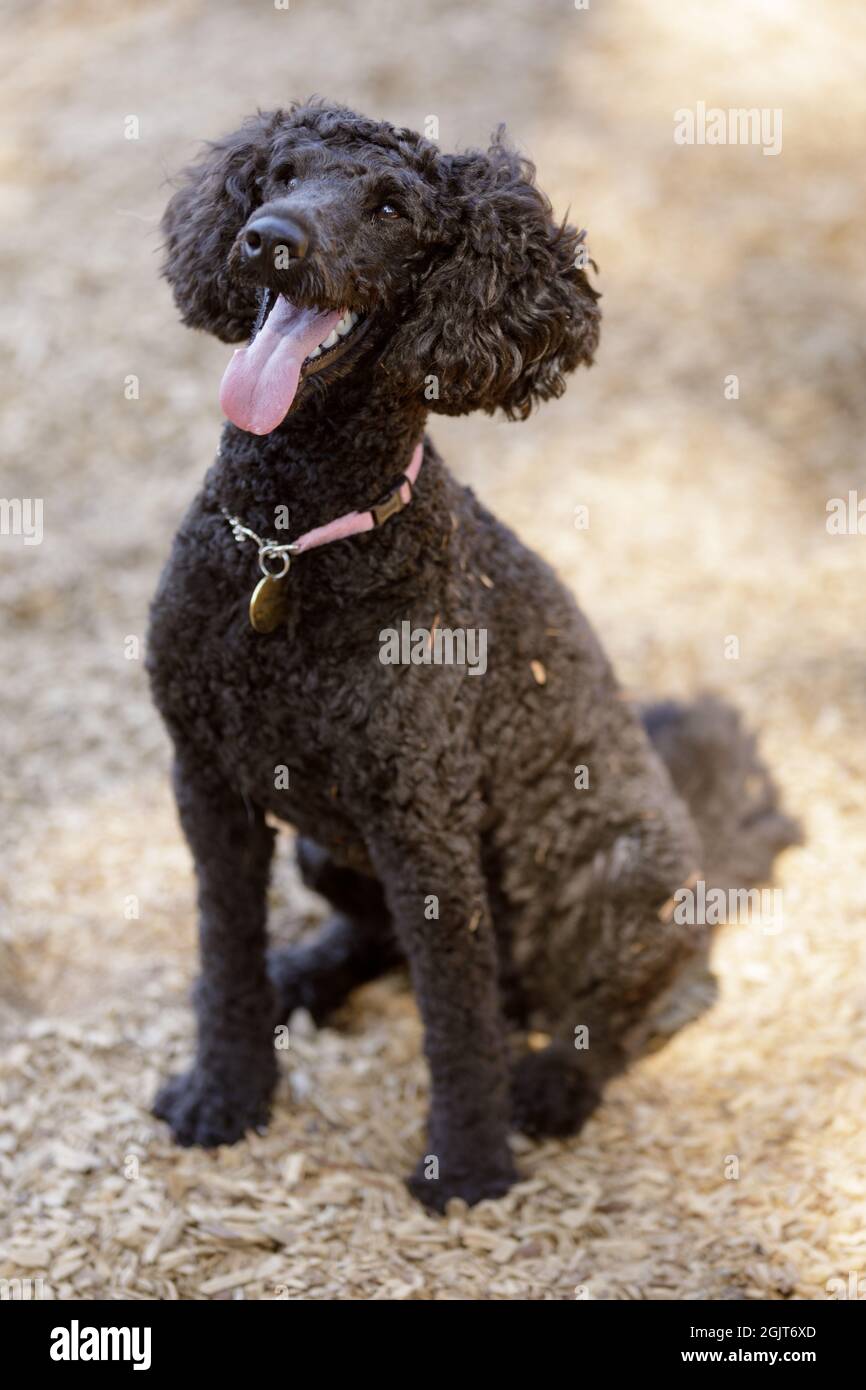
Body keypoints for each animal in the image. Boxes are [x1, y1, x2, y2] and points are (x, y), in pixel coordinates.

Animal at [148, 100, 800, 1206]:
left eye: (389, 208)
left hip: (618, 872)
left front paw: (467, 1165)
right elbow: (223, 951)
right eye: (278, 173)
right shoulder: (208, 779)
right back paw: (305, 974)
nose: (269, 239)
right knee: (381, 943)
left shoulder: (424, 820)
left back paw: (548, 1084)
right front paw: (224, 1094)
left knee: (649, 1000)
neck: (293, 541)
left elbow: (452, 1010)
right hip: (332, 848)